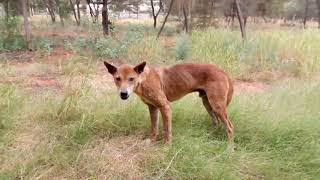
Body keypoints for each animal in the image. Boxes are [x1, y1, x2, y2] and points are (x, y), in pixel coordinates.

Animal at [104, 61, 234, 144]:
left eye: (131, 78)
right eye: (117, 78)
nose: (123, 93)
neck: (143, 80)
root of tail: (222, 71)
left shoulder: (165, 106)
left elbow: (167, 130)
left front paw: (167, 146)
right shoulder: (153, 108)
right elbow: (154, 128)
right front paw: (152, 142)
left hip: (217, 106)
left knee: (230, 127)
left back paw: (229, 148)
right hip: (208, 104)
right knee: (216, 122)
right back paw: (209, 137)